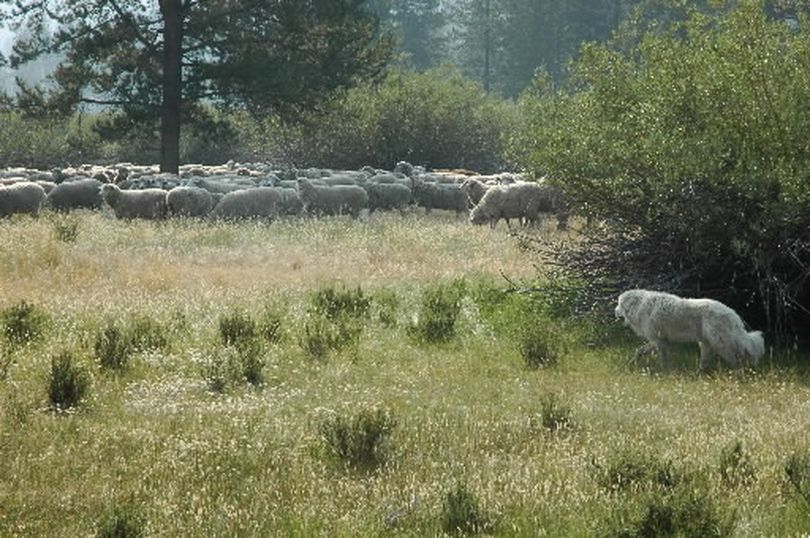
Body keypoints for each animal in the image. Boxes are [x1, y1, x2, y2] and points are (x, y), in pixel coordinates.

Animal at [616, 288, 760, 368]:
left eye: (619, 304)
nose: (614, 311)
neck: (640, 305)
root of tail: (733, 314)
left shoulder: (658, 340)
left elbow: (659, 358)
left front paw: (663, 372)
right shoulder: (660, 341)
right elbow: (640, 351)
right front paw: (632, 363)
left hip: (720, 342)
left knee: (736, 359)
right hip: (706, 342)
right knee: (706, 361)